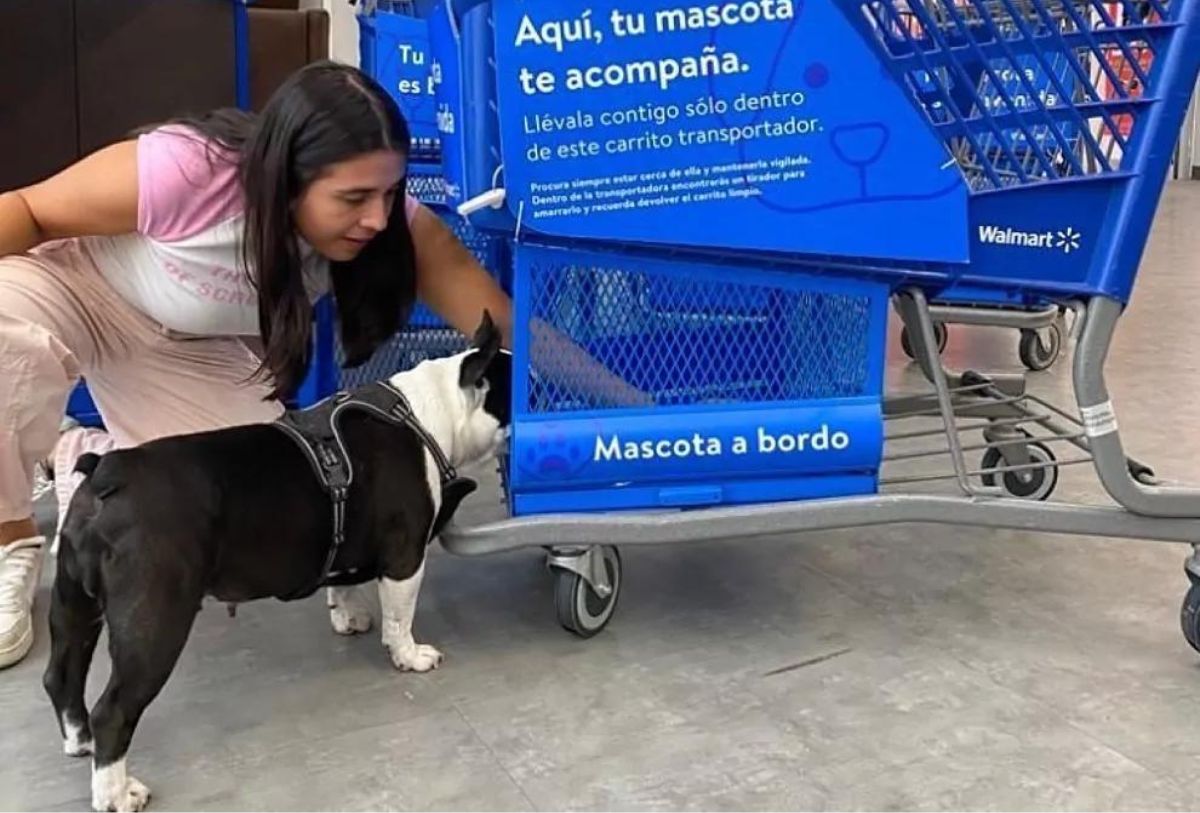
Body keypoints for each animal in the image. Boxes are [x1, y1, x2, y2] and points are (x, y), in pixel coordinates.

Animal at [42, 309, 508, 810]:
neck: (432, 413)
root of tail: (106, 474)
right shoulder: (405, 558)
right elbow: (401, 617)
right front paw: (408, 655)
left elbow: (343, 583)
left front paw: (347, 617)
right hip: (155, 618)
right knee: (114, 710)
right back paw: (115, 792)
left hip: (74, 603)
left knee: (62, 674)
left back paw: (80, 741)